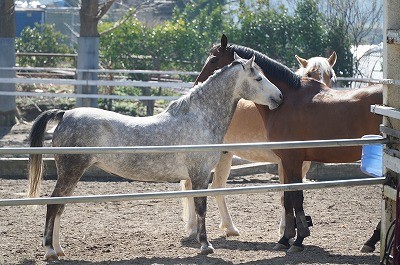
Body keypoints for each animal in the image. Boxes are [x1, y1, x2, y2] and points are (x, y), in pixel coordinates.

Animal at [26, 54, 282, 260]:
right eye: (258, 78)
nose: (279, 97)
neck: (199, 118)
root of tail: (65, 114)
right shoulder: (199, 175)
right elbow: (201, 208)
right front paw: (205, 245)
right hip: (71, 172)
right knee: (53, 205)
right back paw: (50, 251)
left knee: (59, 207)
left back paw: (59, 250)